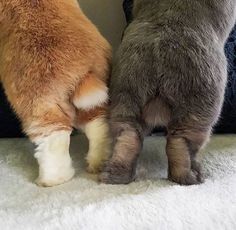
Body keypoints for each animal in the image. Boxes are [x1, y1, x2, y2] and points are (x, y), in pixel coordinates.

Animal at [0, 0, 111, 187]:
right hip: (92, 100)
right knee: (97, 124)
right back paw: (98, 162)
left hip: (40, 103)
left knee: (54, 138)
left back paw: (52, 180)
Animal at [100, 0, 236, 184]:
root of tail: (158, 58)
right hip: (199, 106)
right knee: (181, 141)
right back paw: (190, 175)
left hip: (126, 98)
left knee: (128, 136)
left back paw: (115, 174)